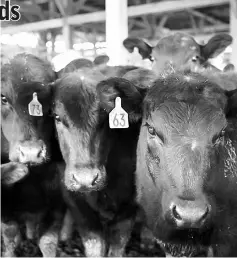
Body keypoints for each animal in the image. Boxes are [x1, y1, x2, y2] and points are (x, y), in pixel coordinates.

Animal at [0, 53, 65, 256]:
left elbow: (48, 241)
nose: (31, 152)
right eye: (3, 98)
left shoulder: (58, 200)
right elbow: (11, 234)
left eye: (50, 102)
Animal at [51, 68, 143, 256]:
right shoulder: (74, 200)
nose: (85, 180)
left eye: (105, 119)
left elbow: (117, 245)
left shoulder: (129, 206)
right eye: (57, 116)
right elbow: (94, 243)